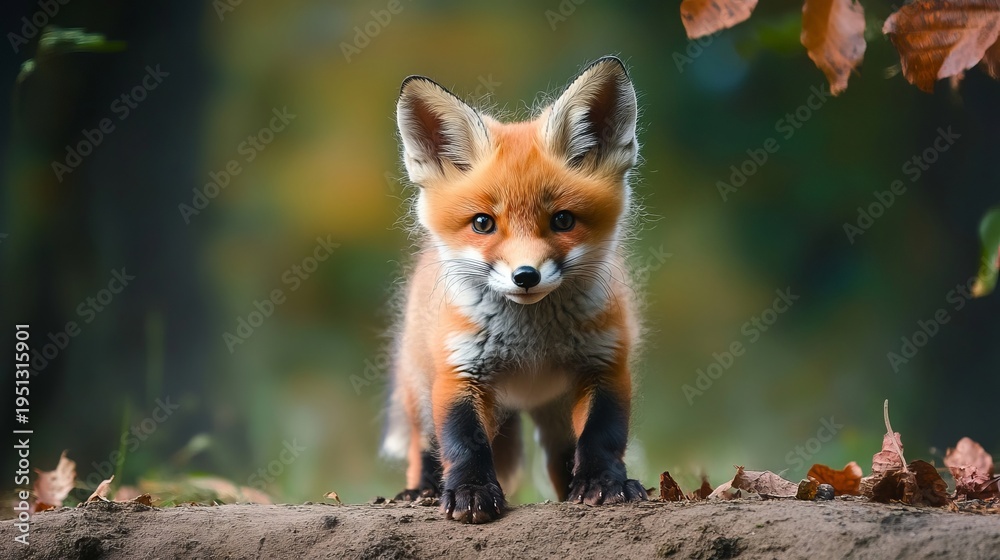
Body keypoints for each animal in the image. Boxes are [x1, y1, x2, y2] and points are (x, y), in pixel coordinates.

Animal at [382, 56, 647, 523]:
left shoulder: (606, 364)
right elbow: (463, 441)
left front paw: (603, 483)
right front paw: (470, 491)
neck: (531, 343)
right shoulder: (460, 371)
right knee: (425, 448)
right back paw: (422, 491)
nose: (526, 276)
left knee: (563, 459)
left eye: (563, 220)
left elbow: (603, 434)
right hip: (421, 389)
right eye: (482, 223)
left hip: (556, 415)